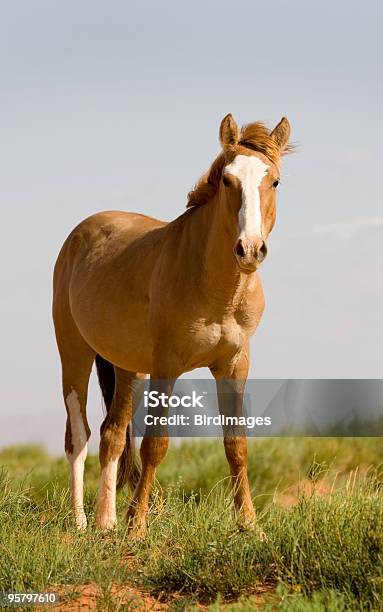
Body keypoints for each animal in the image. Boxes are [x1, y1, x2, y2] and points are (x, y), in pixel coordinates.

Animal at [52, 113, 292, 536]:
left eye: (274, 180)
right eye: (227, 180)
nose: (249, 249)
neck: (216, 289)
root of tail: (80, 236)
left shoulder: (234, 366)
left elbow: (236, 445)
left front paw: (250, 525)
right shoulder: (166, 366)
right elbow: (155, 444)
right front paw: (137, 526)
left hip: (127, 368)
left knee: (111, 435)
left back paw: (106, 524)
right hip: (74, 353)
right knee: (77, 436)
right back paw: (81, 524)